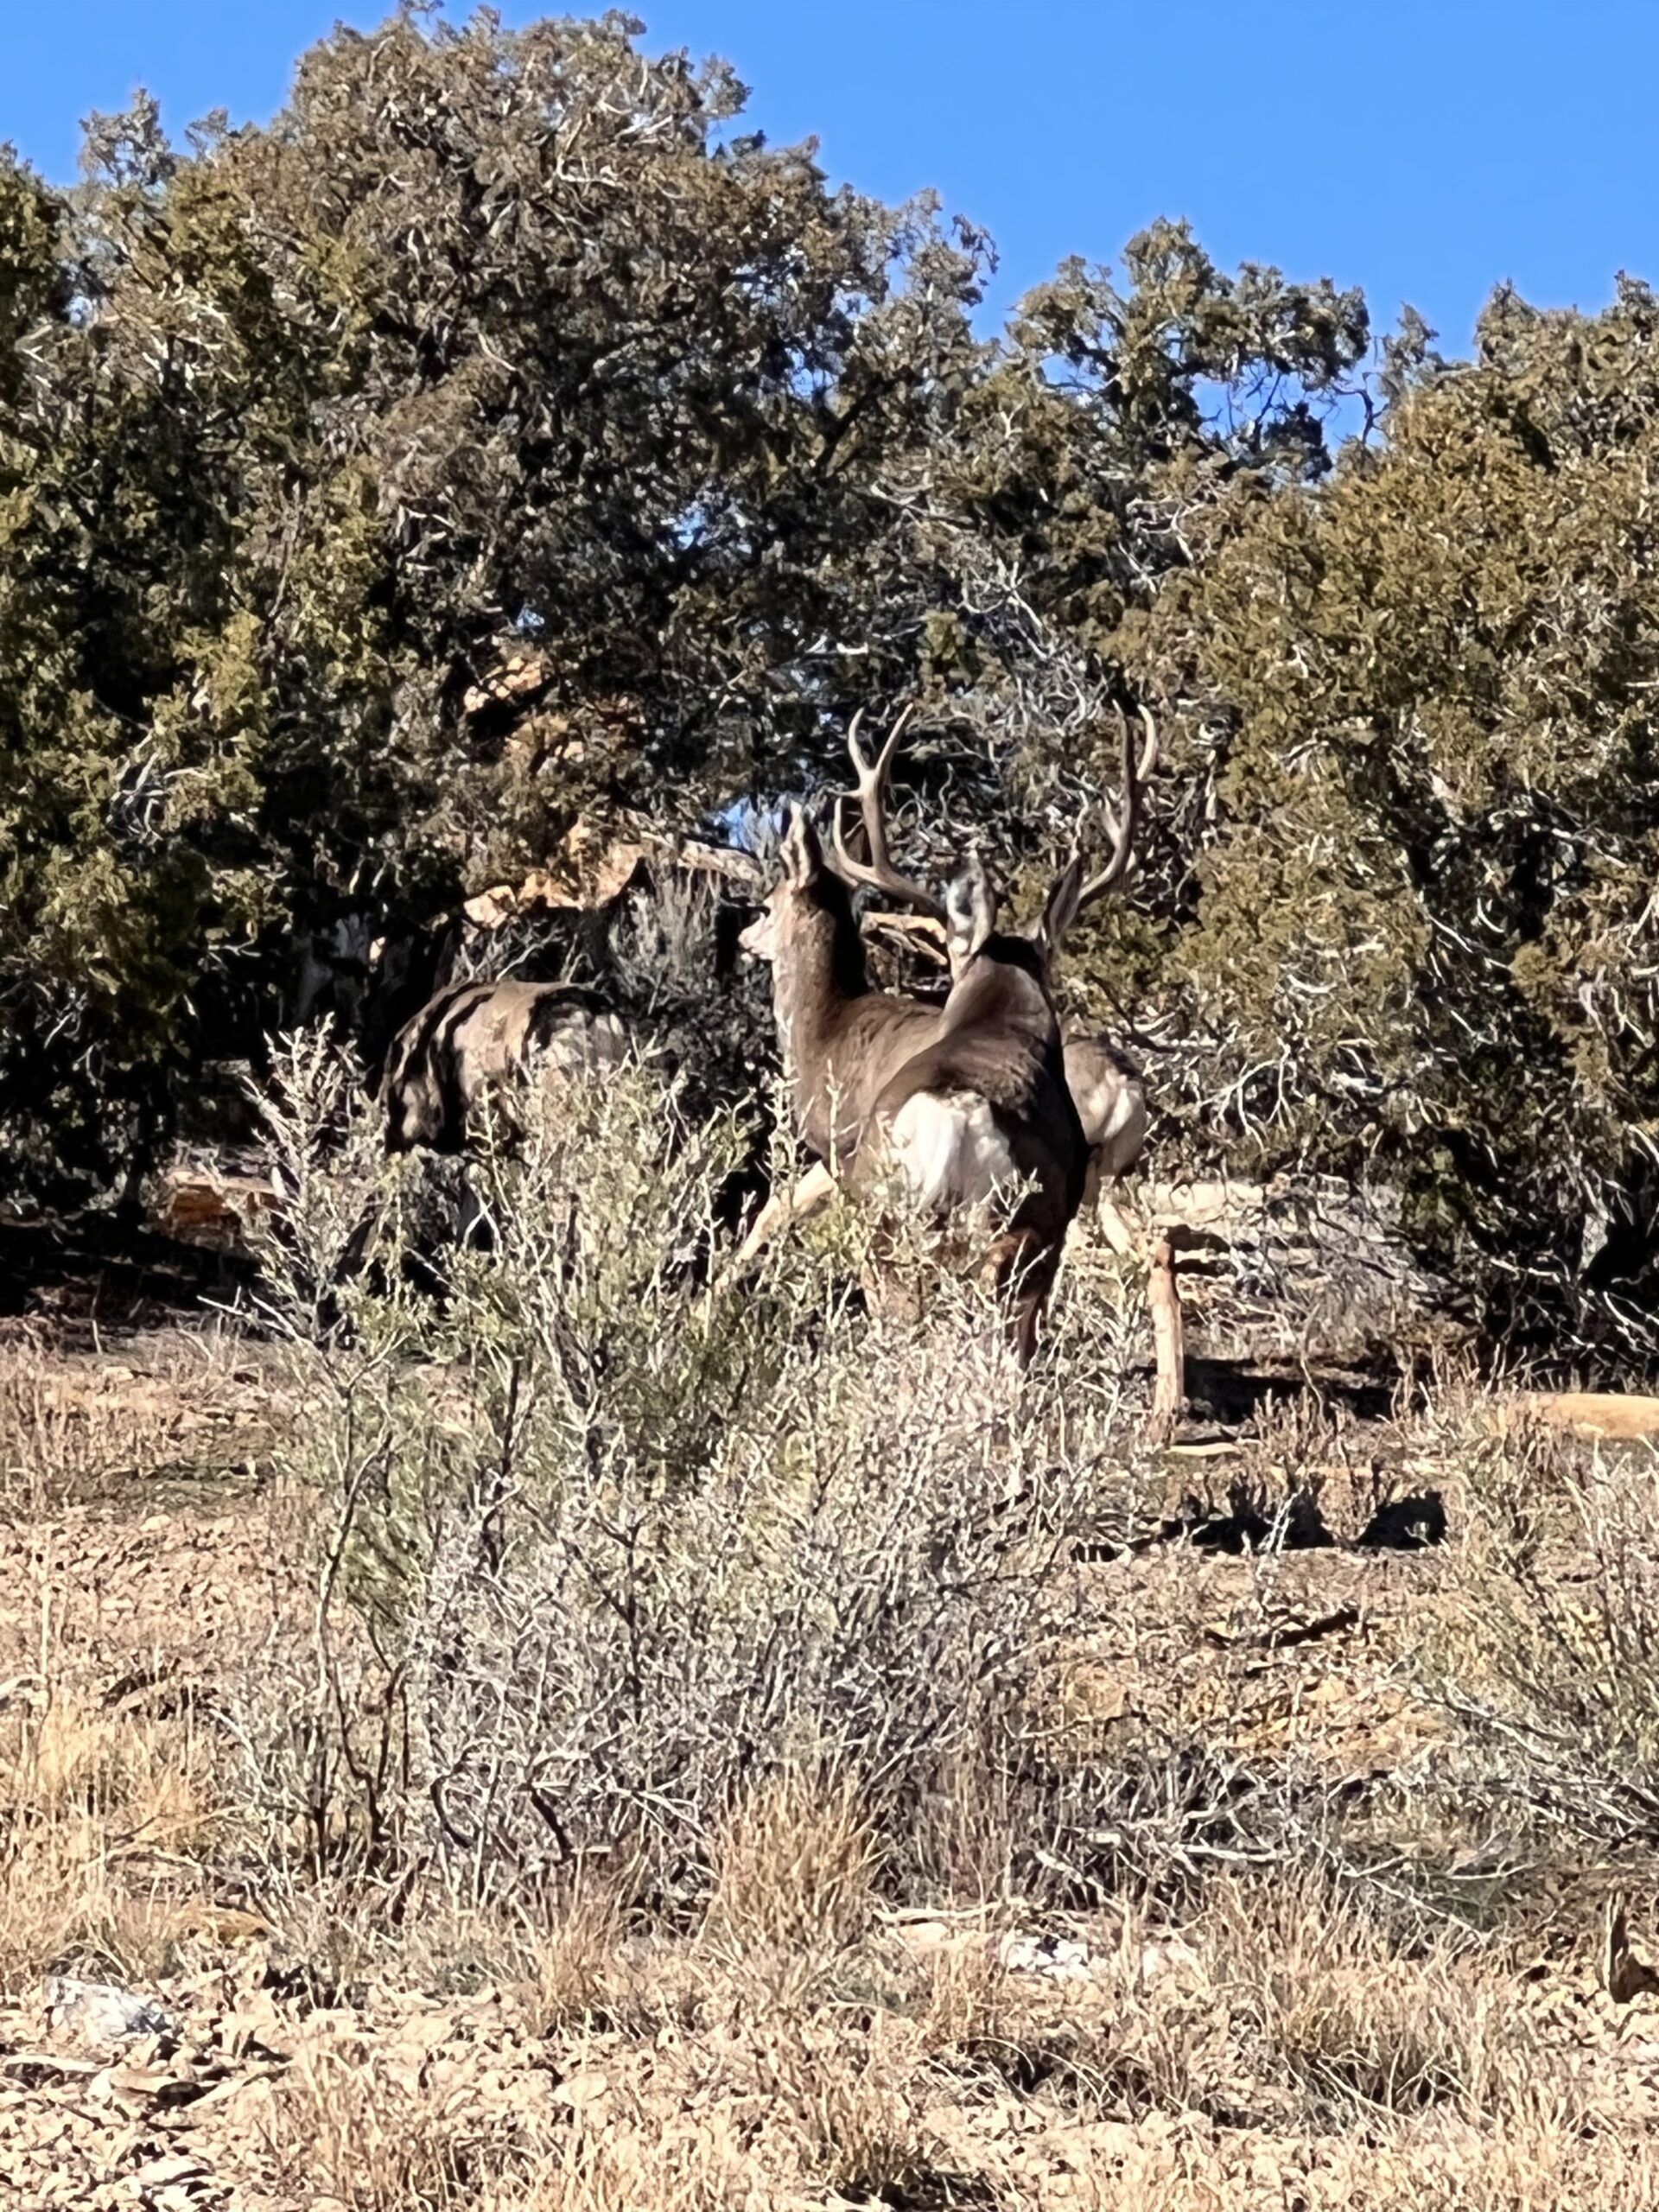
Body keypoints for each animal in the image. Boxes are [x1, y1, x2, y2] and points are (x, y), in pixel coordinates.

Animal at [724, 703, 1158, 1362]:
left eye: (767, 907)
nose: (744, 938)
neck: (826, 1030)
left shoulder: (837, 1152)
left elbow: (774, 1209)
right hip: (1082, 1189)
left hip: (996, 1229)